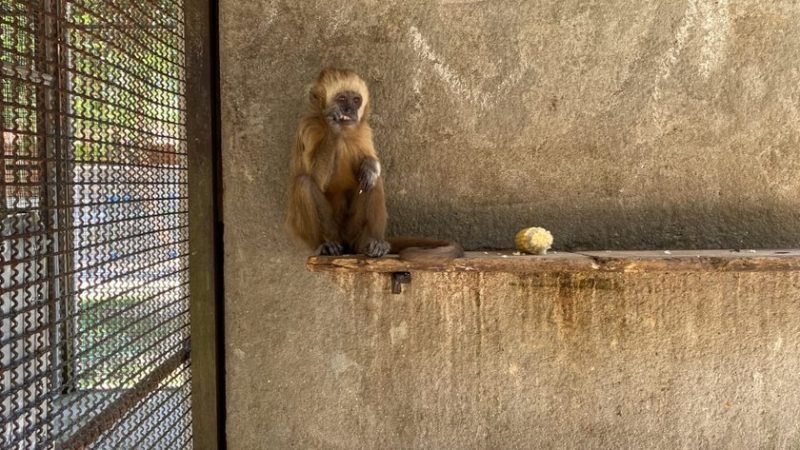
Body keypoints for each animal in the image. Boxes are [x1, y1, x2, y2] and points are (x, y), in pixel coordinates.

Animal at [285, 68, 463, 261]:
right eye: (342, 99)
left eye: (356, 100)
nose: (350, 110)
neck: (344, 134)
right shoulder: (309, 128)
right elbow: (315, 179)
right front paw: (333, 126)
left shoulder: (364, 130)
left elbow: (368, 168)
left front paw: (370, 166)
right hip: (333, 233)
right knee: (303, 183)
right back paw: (326, 245)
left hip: (354, 230)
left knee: (373, 181)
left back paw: (372, 243)